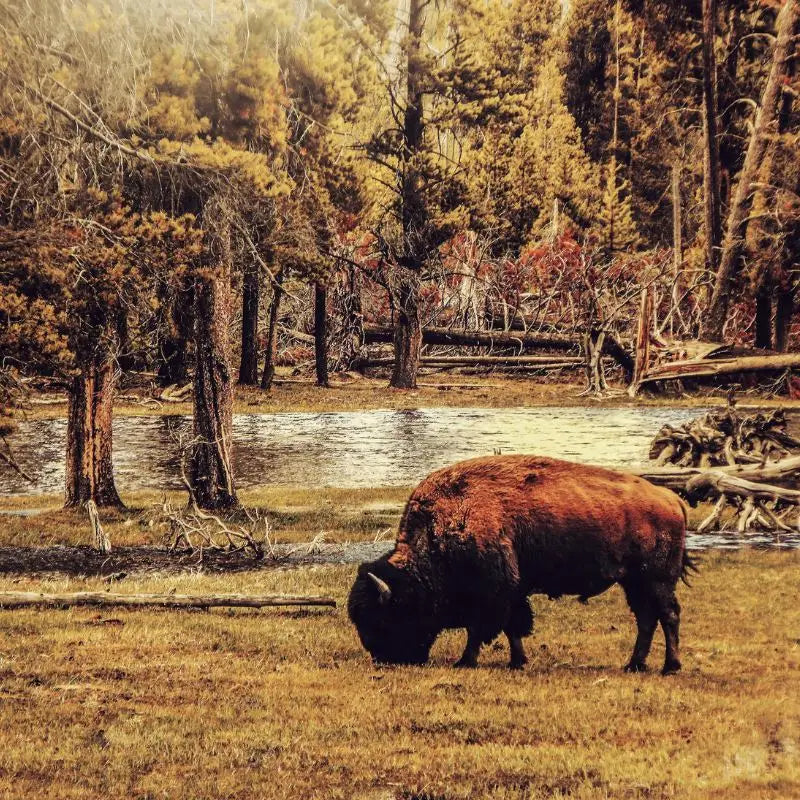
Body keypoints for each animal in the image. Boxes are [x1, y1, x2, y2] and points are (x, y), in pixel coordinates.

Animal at [348, 455, 691, 674]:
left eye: (383, 618)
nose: (385, 658)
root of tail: (671, 498)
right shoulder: (511, 592)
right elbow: (512, 628)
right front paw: (518, 661)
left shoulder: (494, 593)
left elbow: (483, 629)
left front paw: (466, 661)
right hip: (634, 582)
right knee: (647, 619)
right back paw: (634, 665)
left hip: (656, 580)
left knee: (668, 615)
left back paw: (670, 667)